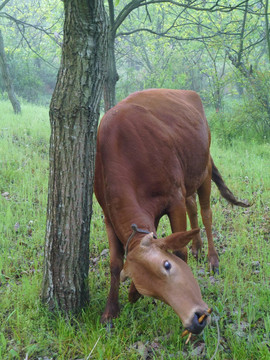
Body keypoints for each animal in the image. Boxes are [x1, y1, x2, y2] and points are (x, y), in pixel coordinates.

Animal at [94, 89, 249, 334]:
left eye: (167, 265)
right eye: (149, 290)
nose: (195, 321)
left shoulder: (174, 199)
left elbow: (179, 250)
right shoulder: (109, 215)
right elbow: (115, 263)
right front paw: (111, 311)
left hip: (203, 170)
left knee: (206, 214)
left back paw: (212, 259)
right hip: (188, 180)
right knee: (192, 207)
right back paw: (197, 248)